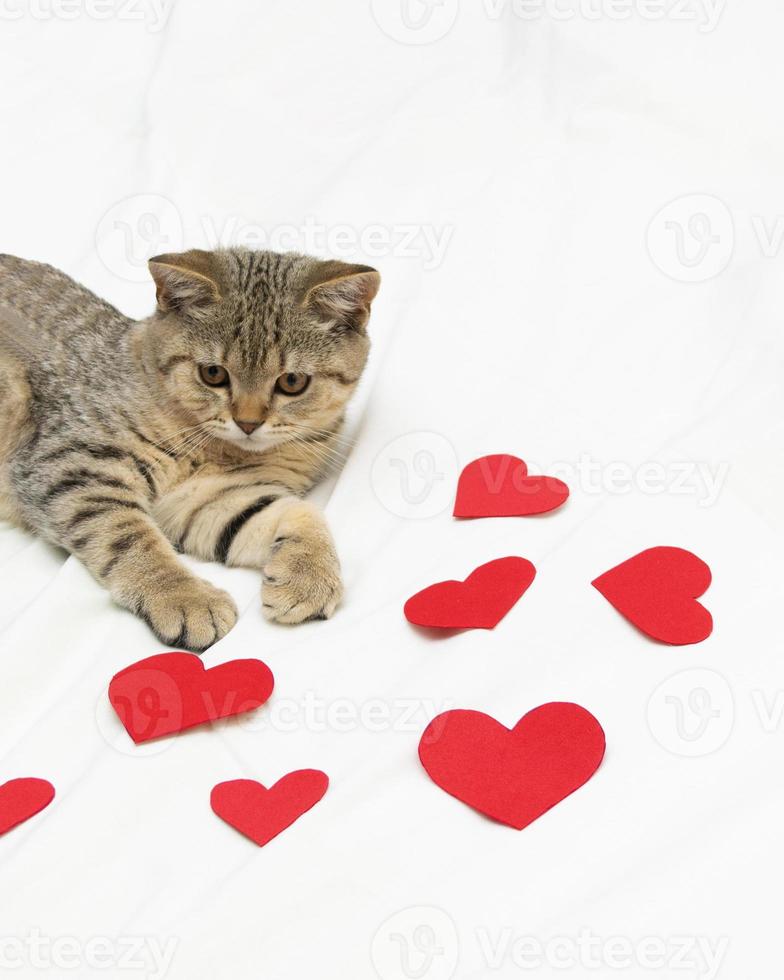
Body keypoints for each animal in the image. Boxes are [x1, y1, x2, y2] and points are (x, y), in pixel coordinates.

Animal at [0, 251, 382, 652]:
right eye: (213, 373)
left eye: (292, 382)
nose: (247, 423)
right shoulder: (69, 462)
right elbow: (131, 536)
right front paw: (184, 597)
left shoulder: (207, 499)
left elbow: (298, 512)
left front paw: (309, 574)